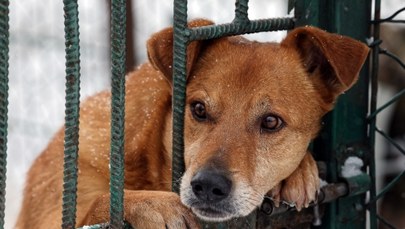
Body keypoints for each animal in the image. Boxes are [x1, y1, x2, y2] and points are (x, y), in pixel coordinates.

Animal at [15, 19, 370, 227]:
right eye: (198, 109)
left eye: (271, 121)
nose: (209, 187)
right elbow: (100, 204)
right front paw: (153, 206)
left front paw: (298, 173)